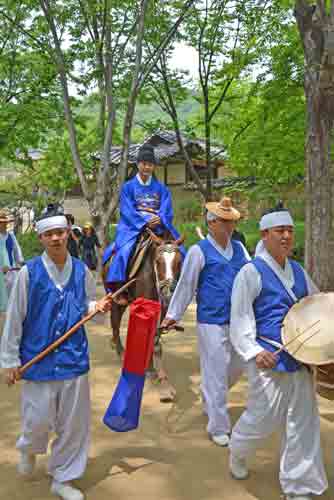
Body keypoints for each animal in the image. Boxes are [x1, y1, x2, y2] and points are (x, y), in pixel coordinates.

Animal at [103, 230, 184, 402]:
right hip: (115, 296)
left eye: (179, 262)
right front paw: (151, 372)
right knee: (115, 322)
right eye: (158, 261)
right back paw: (120, 352)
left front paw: (161, 379)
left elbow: (156, 342)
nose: (168, 291)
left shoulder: (162, 309)